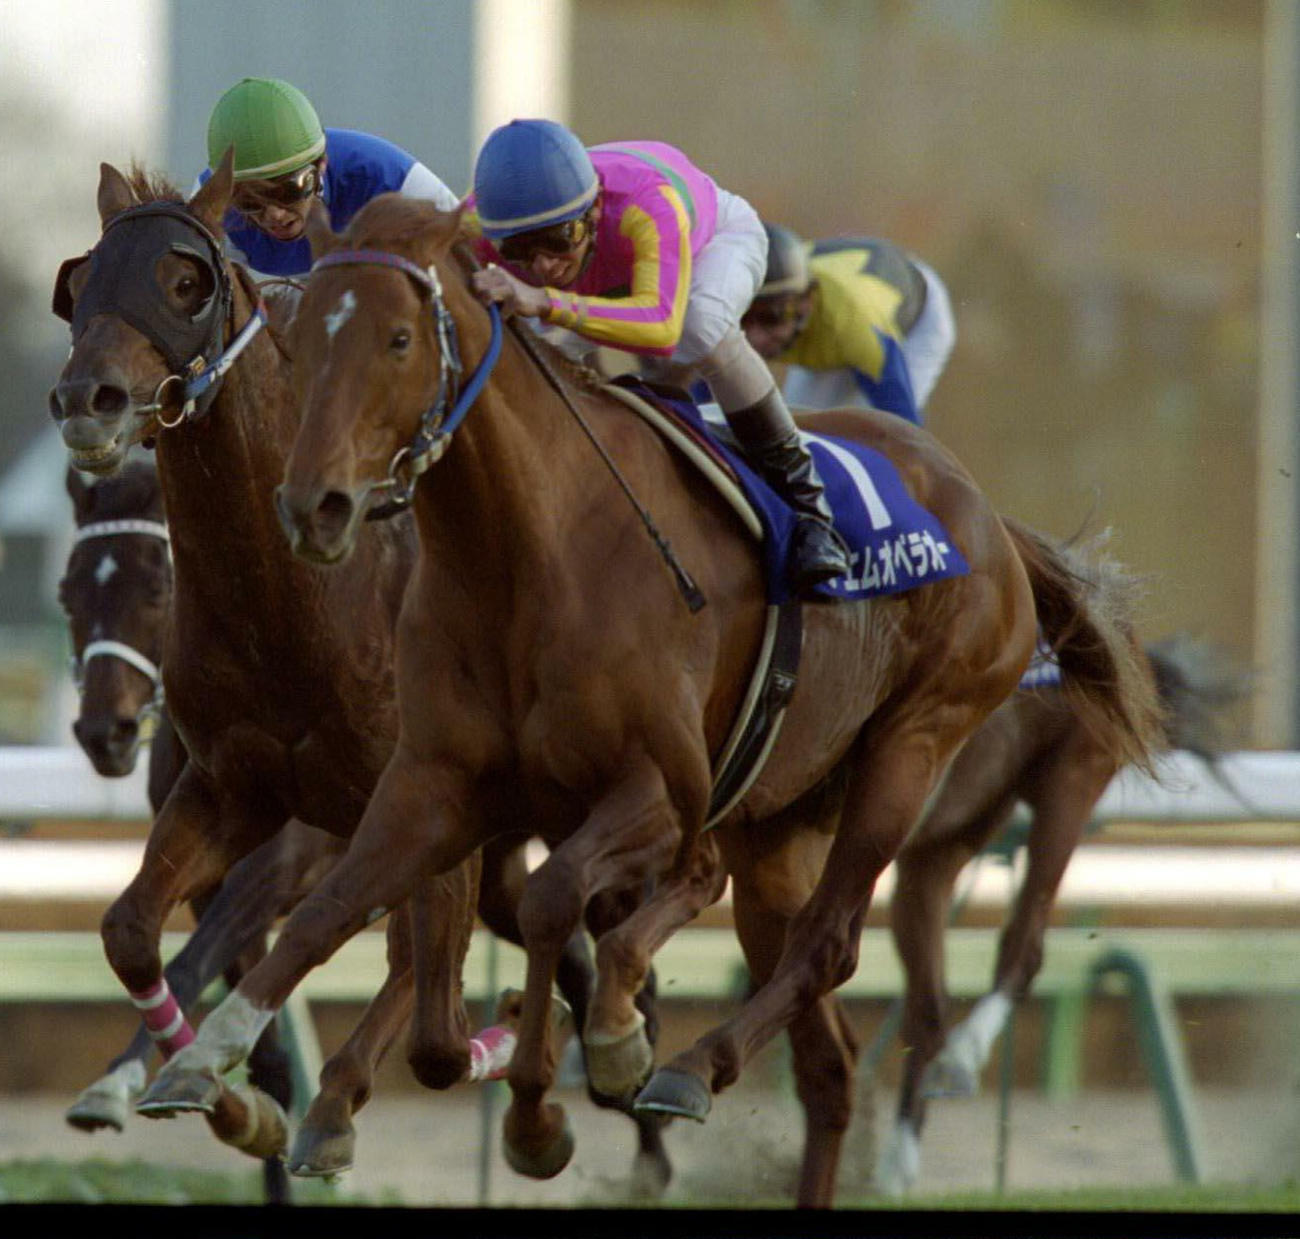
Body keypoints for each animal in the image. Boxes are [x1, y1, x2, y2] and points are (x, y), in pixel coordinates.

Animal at [46, 158, 671, 1193]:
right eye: (82, 279)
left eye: (184, 280)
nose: (86, 399)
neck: (294, 608)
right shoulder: (234, 790)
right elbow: (134, 931)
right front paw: (225, 1097)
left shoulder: (377, 819)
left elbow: (415, 994)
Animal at [133, 186, 1164, 1208]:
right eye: (300, 343)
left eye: (396, 339)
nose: (315, 506)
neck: (524, 552)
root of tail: (990, 517)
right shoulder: (431, 784)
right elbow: (331, 908)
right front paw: (209, 1066)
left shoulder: (657, 792)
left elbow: (552, 902)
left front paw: (551, 1101)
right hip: (782, 823)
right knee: (823, 1050)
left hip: (914, 749)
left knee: (831, 942)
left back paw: (687, 1064)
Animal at [874, 619, 1249, 1195]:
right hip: (942, 840)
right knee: (926, 1008)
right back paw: (896, 1165)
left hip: (1068, 786)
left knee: (1022, 948)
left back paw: (960, 1059)